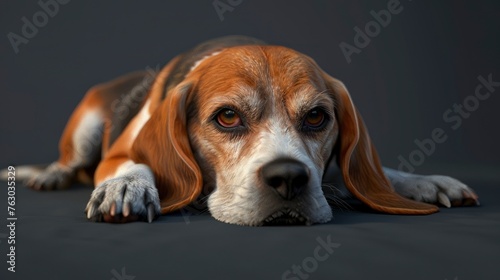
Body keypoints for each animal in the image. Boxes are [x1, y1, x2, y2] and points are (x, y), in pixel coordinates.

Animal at [4, 36, 480, 226]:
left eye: (316, 117)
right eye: (228, 117)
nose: (288, 178)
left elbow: (367, 174)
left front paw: (422, 181)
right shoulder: (120, 152)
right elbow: (134, 164)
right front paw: (128, 187)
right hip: (85, 126)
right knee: (72, 161)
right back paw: (52, 174)